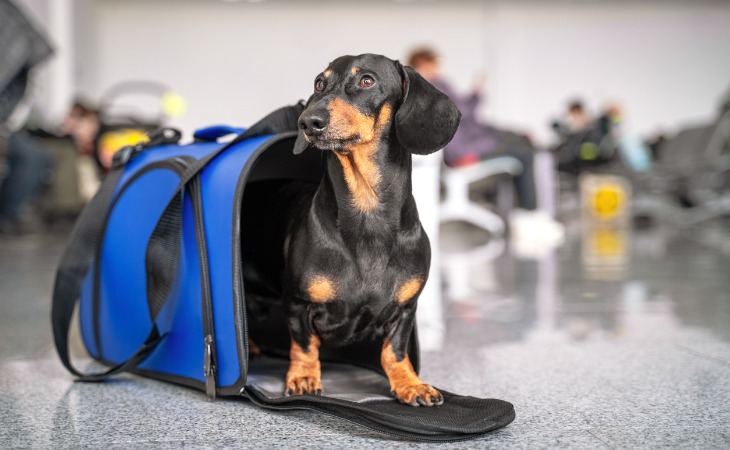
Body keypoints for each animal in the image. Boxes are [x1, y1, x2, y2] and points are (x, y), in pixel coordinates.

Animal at [245, 53, 460, 408]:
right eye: (319, 83)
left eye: (367, 80)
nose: (308, 121)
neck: (366, 211)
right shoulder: (298, 303)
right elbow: (305, 346)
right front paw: (304, 378)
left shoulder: (405, 310)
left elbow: (394, 351)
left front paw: (409, 383)